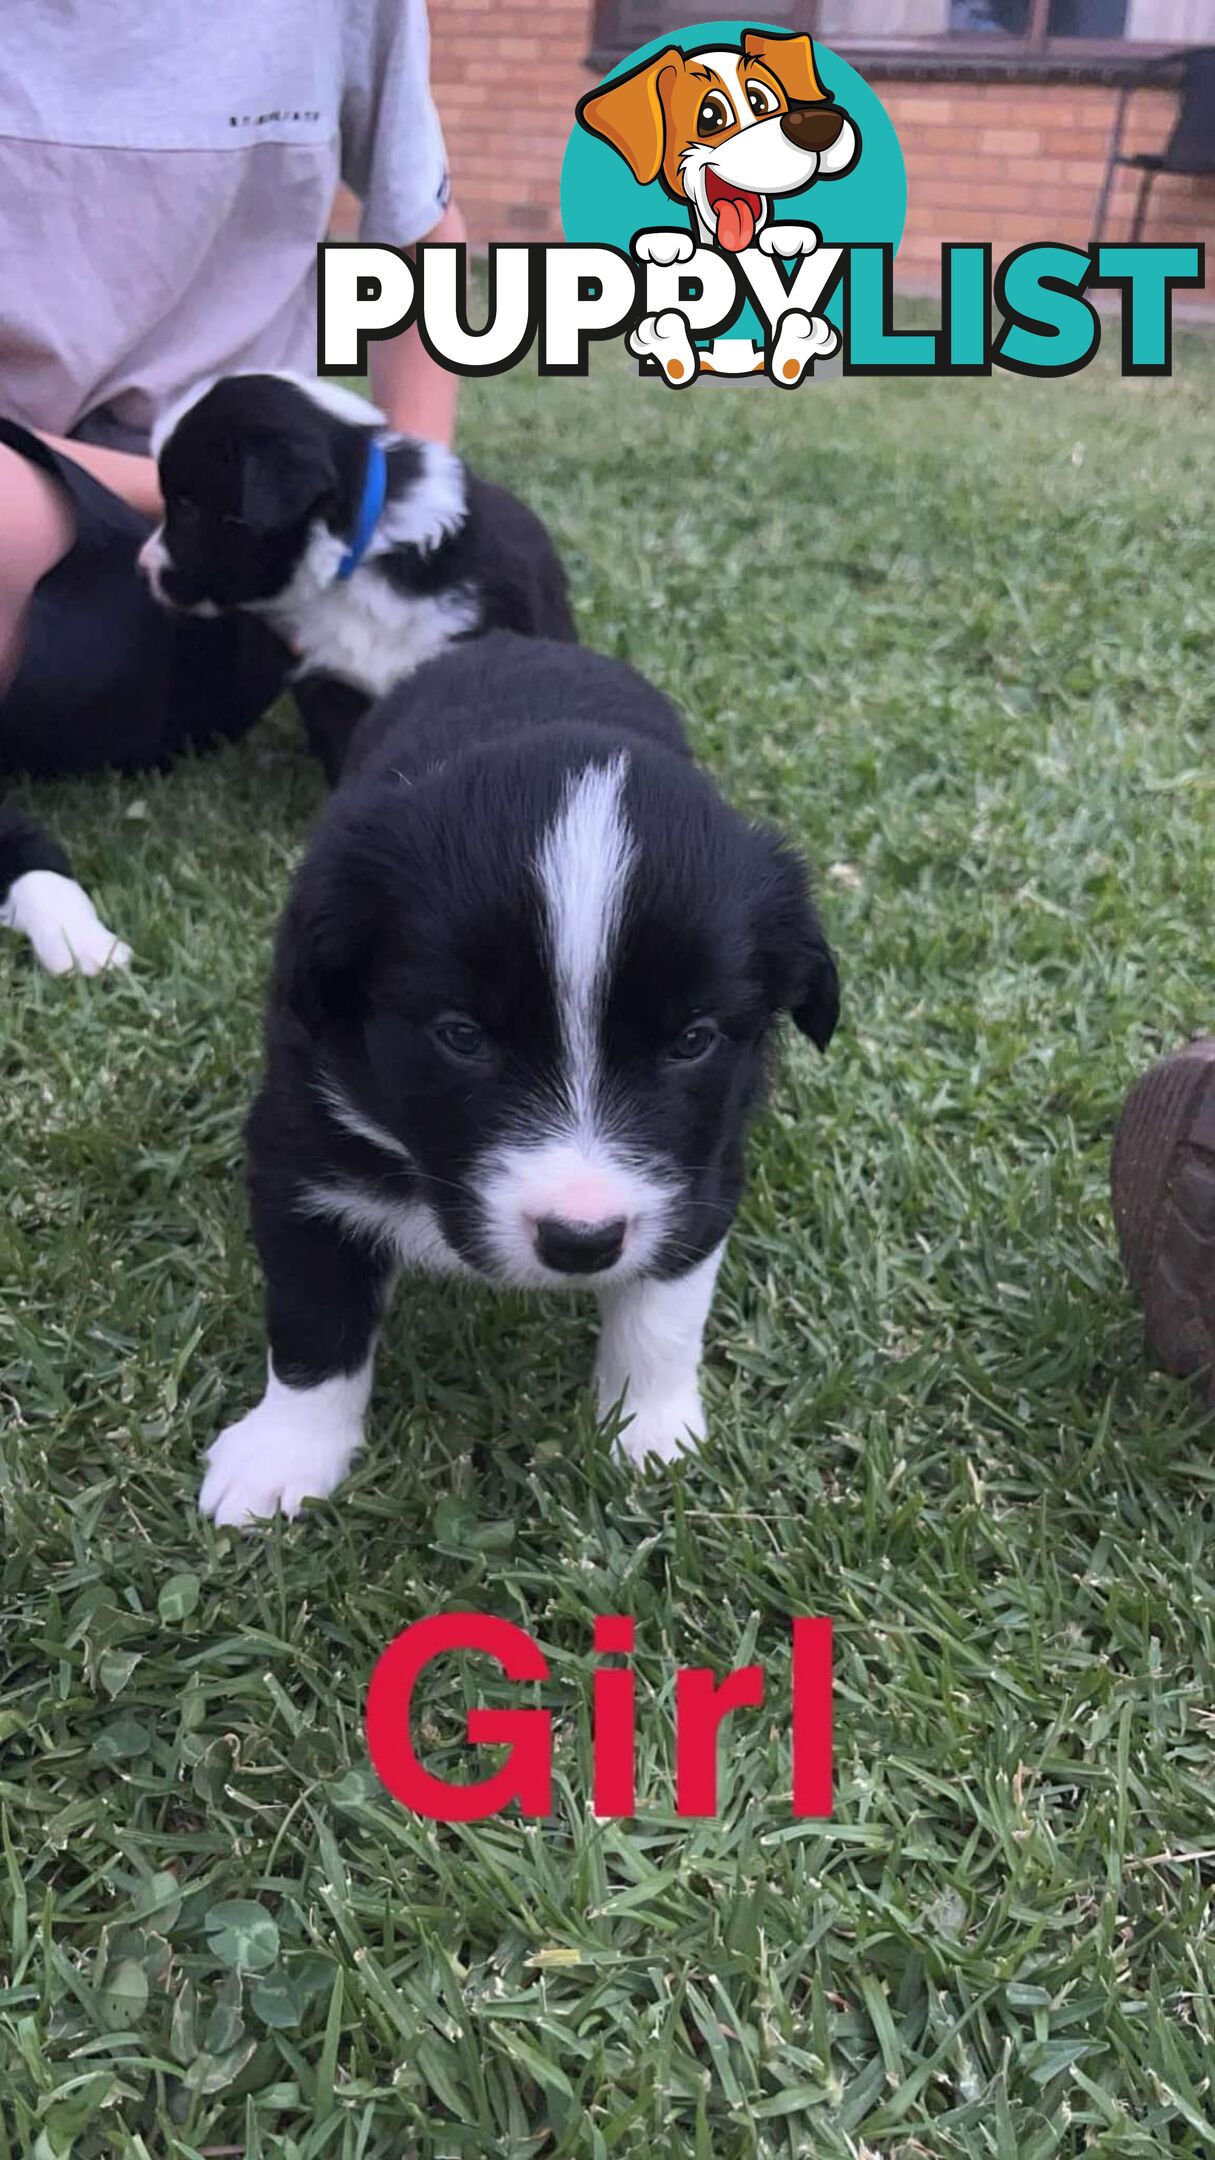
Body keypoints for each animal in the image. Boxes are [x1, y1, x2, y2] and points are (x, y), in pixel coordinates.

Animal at [203, 630, 838, 1529]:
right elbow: (312, 1313)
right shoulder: (301, 1137)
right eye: (460, 1037)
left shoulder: (702, 1168)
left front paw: (647, 1431)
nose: (582, 1241)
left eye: (692, 1040)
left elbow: (663, 1313)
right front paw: (282, 1452)